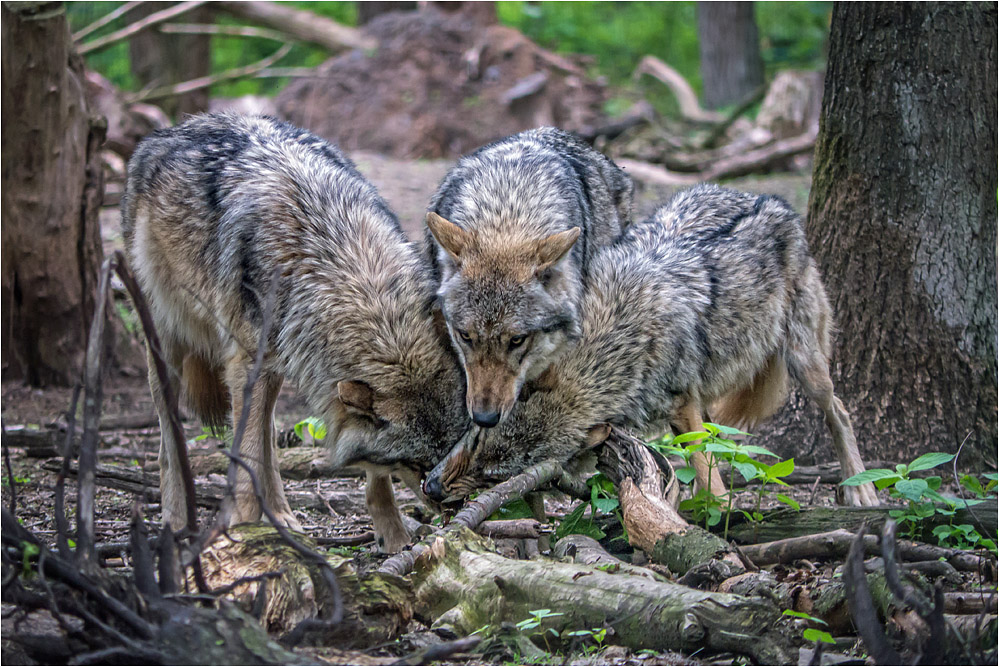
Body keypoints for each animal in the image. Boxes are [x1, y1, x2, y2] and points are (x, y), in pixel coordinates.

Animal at [123, 113, 470, 552]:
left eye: (454, 449)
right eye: (414, 463)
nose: (453, 508)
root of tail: (176, 127)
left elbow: (369, 475)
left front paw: (392, 535)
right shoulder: (245, 364)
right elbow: (247, 455)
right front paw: (243, 528)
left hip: (272, 366)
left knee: (268, 436)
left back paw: (283, 515)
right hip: (169, 344)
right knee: (171, 442)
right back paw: (176, 519)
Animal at [426, 183, 880, 506]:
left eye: (496, 477)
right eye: (476, 442)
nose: (432, 489)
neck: (616, 332)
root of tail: (762, 198)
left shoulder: (681, 403)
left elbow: (711, 483)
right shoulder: (681, 409)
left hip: (805, 363)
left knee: (839, 411)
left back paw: (861, 488)